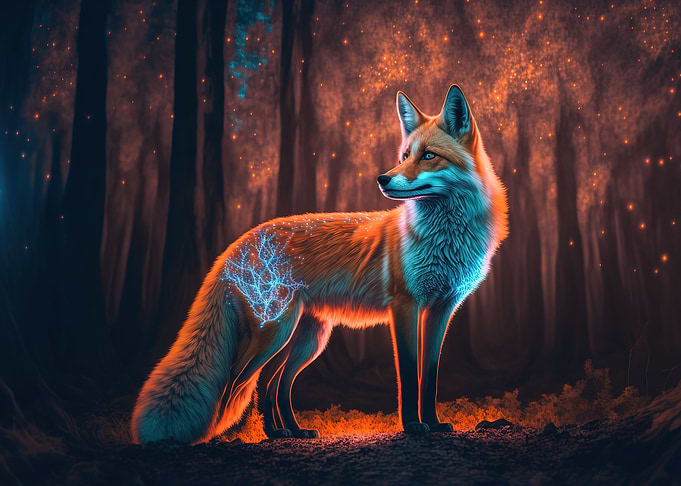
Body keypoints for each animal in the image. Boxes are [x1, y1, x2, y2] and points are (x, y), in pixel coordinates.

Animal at [131, 84, 508, 444]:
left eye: (428, 156)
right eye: (404, 156)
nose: (383, 178)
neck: (445, 240)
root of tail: (237, 244)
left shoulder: (441, 310)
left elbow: (428, 377)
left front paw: (433, 424)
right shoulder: (404, 307)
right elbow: (408, 376)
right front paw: (413, 426)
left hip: (307, 339)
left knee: (275, 383)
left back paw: (287, 432)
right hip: (275, 333)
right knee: (236, 383)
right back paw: (232, 436)